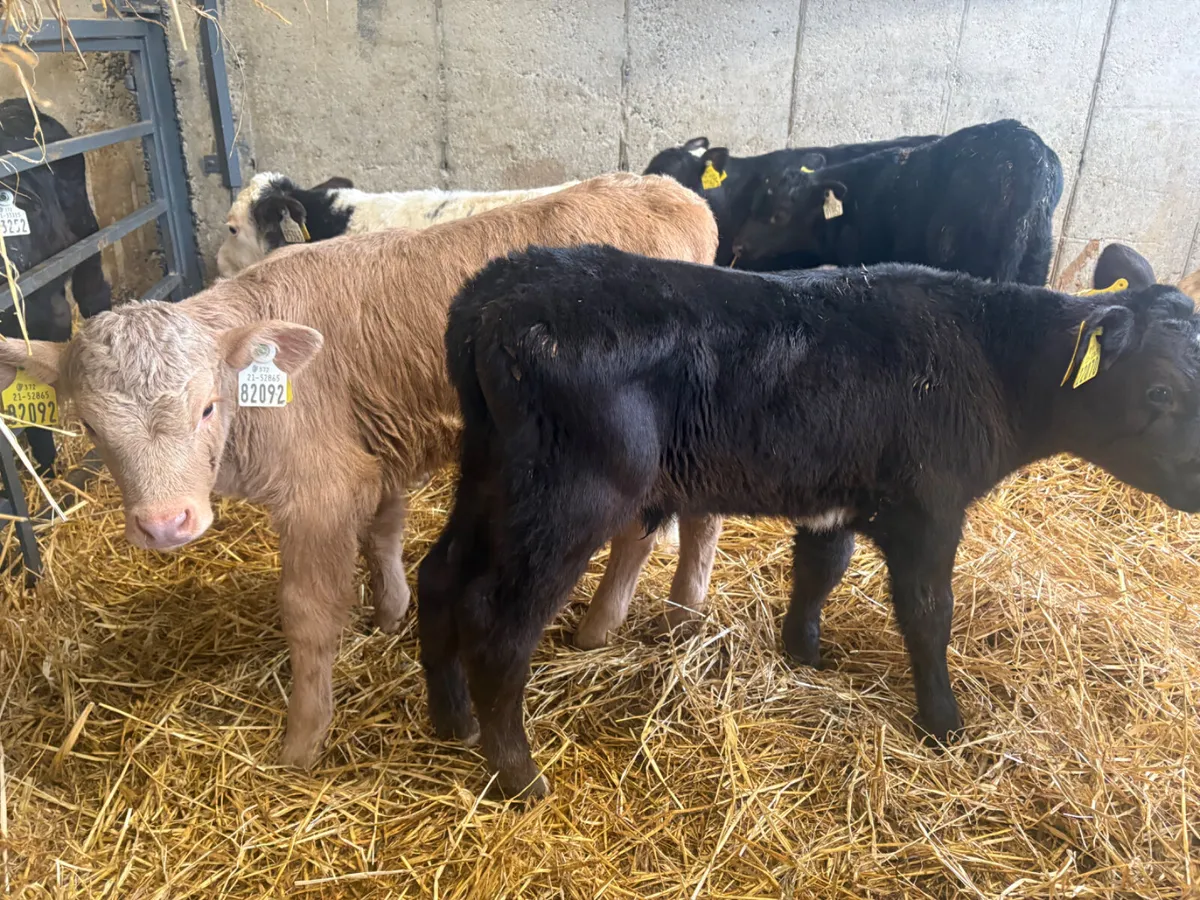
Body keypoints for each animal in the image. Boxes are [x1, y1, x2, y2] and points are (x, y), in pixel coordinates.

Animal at [422, 244, 1200, 798]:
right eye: (1161, 389)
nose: (1198, 482)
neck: (989, 359)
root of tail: (494, 296)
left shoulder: (839, 496)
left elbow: (820, 569)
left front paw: (804, 652)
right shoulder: (929, 510)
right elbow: (928, 613)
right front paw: (944, 724)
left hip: (490, 475)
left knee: (441, 577)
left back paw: (452, 721)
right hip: (569, 496)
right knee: (499, 622)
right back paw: (519, 776)